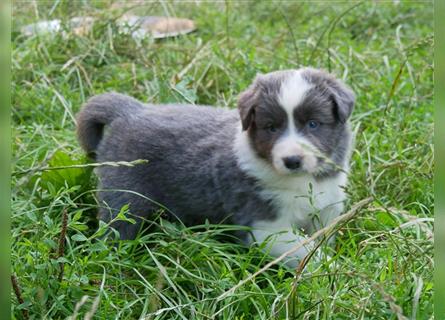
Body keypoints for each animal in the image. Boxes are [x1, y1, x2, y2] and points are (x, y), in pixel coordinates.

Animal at [76, 67, 354, 264]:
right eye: (271, 127)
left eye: (313, 124)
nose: (292, 160)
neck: (303, 181)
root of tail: (131, 111)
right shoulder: (265, 225)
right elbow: (305, 252)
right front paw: (331, 271)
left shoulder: (327, 208)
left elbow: (320, 238)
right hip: (124, 196)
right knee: (116, 228)